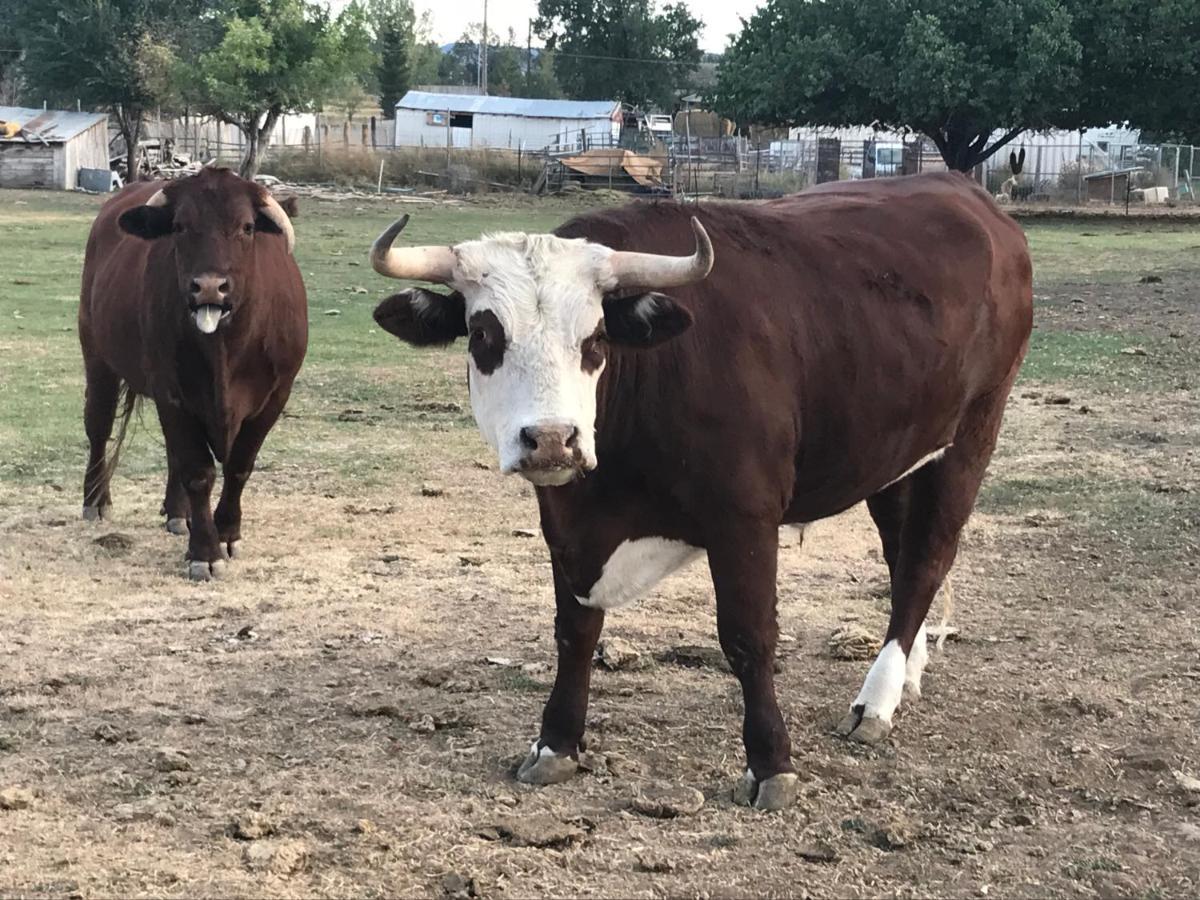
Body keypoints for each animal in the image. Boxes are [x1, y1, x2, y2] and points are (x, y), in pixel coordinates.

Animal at [78, 166, 307, 580]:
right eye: (180, 226)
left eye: (247, 226)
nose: (210, 288)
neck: (224, 349)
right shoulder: (173, 394)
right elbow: (198, 471)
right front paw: (205, 552)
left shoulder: (276, 396)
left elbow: (238, 467)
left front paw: (227, 532)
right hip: (98, 358)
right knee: (99, 428)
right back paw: (95, 500)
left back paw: (176, 513)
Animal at [367, 177, 1032, 816]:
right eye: (483, 333)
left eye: (596, 336)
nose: (552, 438)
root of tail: (968, 193)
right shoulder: (566, 519)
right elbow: (574, 629)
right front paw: (556, 742)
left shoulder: (745, 518)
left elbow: (748, 635)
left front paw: (771, 764)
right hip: (892, 458)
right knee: (901, 560)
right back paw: (905, 674)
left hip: (972, 436)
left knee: (925, 561)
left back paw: (876, 703)